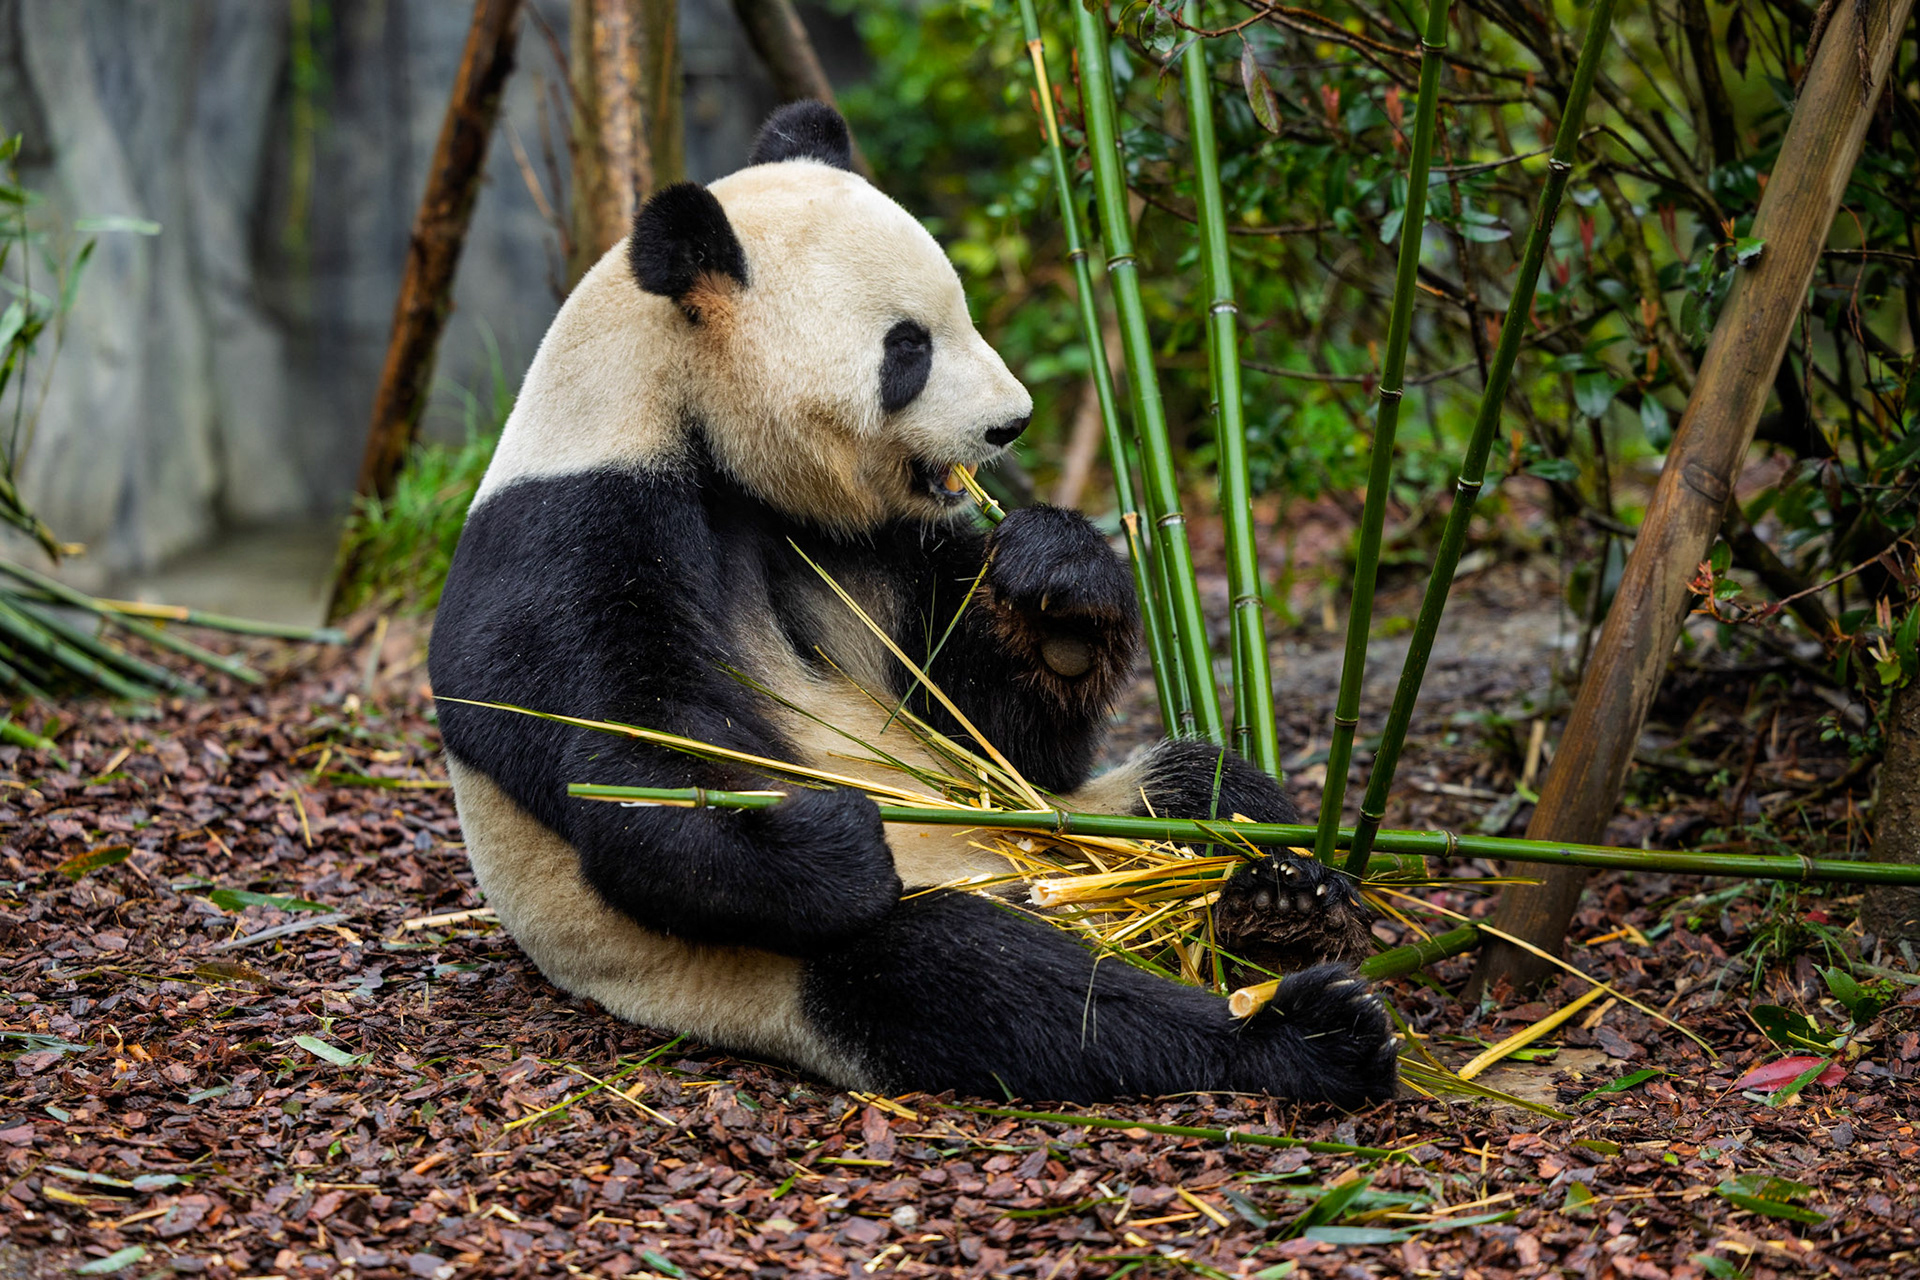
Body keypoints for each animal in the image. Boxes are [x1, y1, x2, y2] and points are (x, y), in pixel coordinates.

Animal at [428, 102, 1397, 1107]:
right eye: (908, 349)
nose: (1011, 423)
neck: (679, 414)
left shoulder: (860, 542)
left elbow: (990, 731)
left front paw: (1059, 594)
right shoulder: (578, 529)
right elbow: (625, 761)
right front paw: (828, 839)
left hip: (1088, 815)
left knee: (1205, 792)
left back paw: (1283, 899)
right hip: (758, 965)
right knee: (971, 978)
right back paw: (1293, 1029)